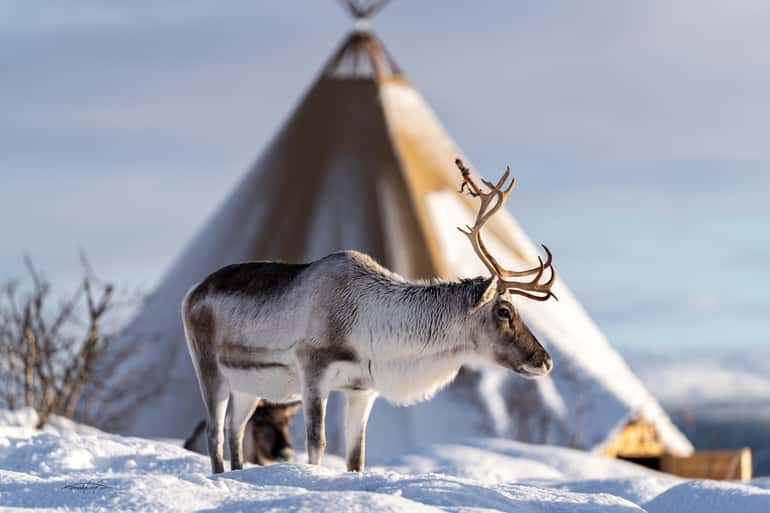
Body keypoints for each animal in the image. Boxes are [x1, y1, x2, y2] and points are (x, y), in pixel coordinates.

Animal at [182, 159, 557, 474]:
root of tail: (192, 292)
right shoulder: (313, 372)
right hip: (210, 369)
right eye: (504, 311)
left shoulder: (362, 388)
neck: (372, 325)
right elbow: (317, 444)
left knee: (235, 430)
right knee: (215, 433)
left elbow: (356, 456)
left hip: (247, 387)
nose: (545, 361)